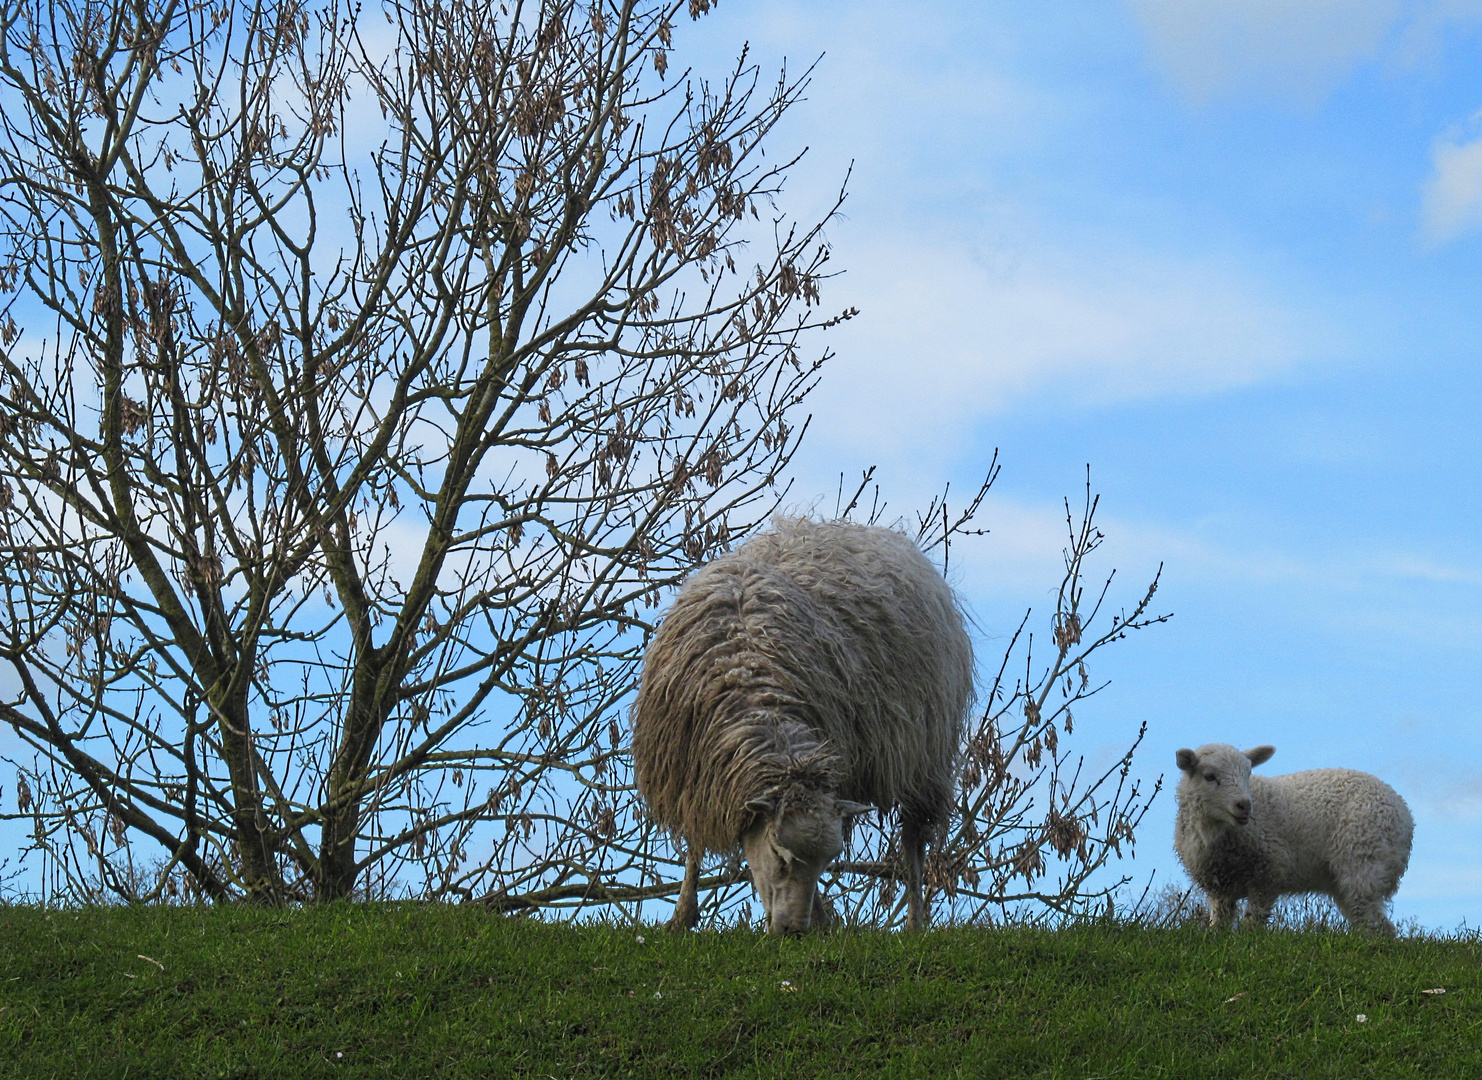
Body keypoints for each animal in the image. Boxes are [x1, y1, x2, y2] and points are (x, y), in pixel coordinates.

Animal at [634, 518, 972, 930]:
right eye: (779, 853)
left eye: (827, 861)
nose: (793, 930)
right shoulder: (693, 773)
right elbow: (695, 843)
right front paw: (682, 915)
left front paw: (822, 921)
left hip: (926, 756)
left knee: (914, 839)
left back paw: (915, 922)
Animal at [1167, 740, 1410, 936]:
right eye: (1209, 776)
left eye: (1248, 774)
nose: (1244, 806)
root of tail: (1405, 814)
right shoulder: (1219, 886)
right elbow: (1220, 923)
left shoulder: (1268, 872)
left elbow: (1253, 922)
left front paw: (1250, 945)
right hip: (1346, 881)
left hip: (1364, 860)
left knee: (1377, 925)